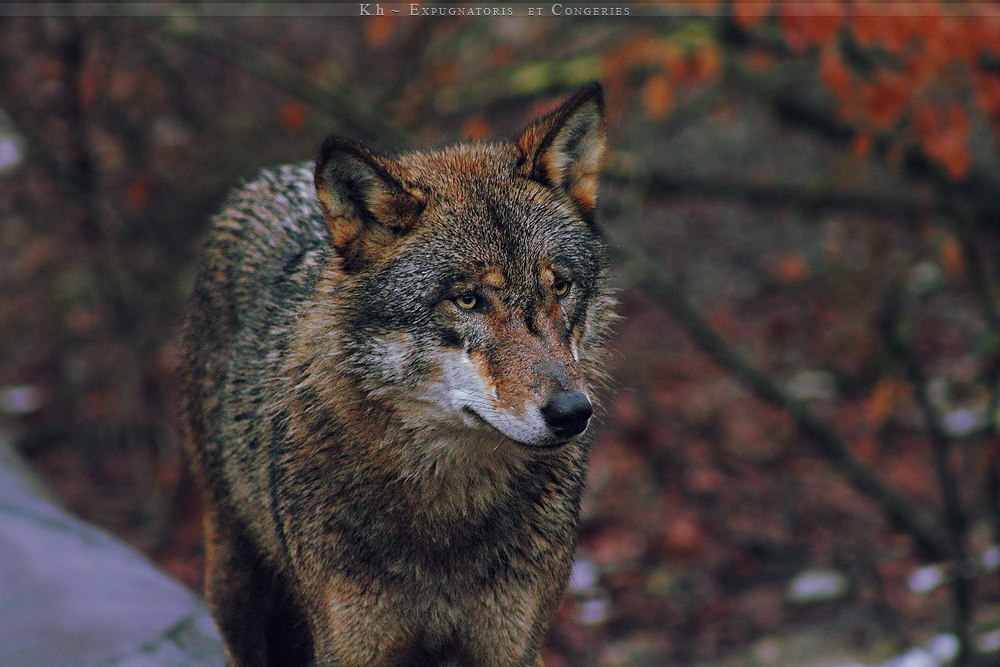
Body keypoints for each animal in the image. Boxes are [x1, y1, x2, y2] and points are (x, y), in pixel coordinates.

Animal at [180, 83, 616, 667]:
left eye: (560, 287)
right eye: (467, 300)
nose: (572, 413)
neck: (447, 512)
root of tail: (269, 177)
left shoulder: (512, 644)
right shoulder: (352, 647)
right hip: (238, 594)